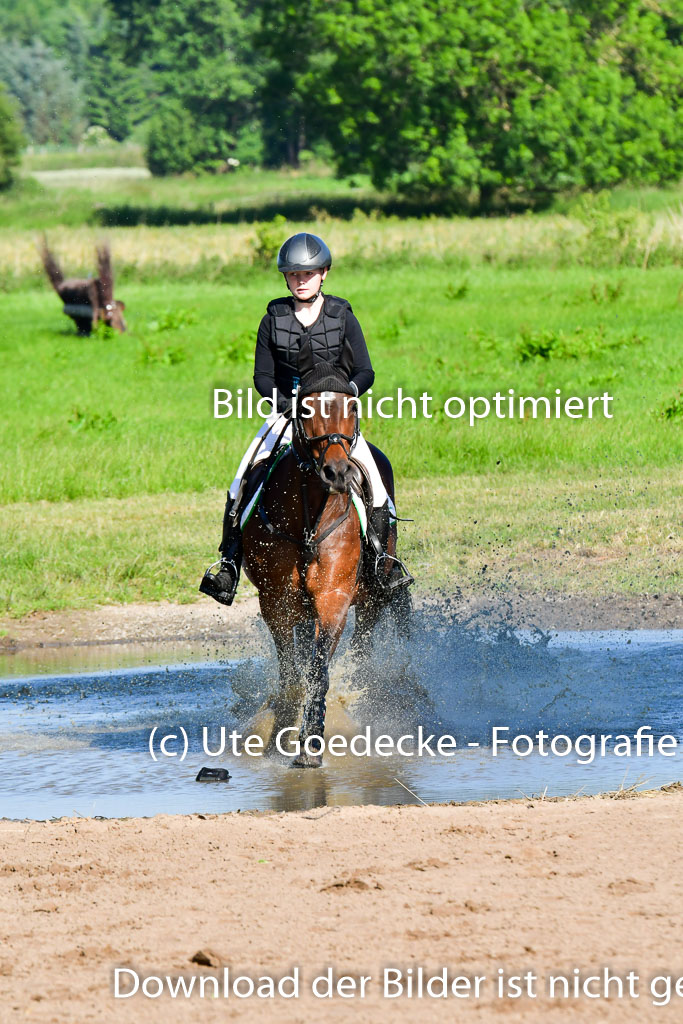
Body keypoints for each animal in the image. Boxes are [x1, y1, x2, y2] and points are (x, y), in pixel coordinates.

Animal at [241, 356, 411, 765]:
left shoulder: (334, 598)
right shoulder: (276, 601)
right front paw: (287, 724)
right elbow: (293, 668)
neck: (307, 516)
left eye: (351, 407)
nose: (337, 472)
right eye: (305, 409)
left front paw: (311, 743)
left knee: (363, 643)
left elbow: (318, 670)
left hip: (371, 598)